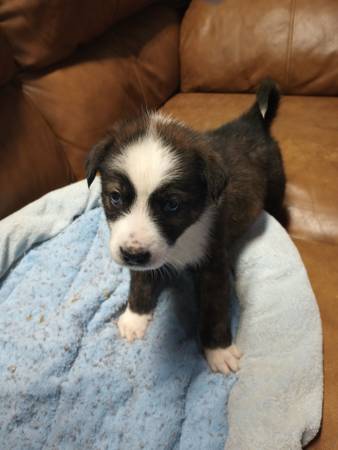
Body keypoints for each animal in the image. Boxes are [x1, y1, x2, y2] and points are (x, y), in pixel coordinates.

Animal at [85, 80, 286, 372]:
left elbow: (215, 308)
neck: (180, 241)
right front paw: (135, 317)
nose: (132, 255)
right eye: (115, 197)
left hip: (276, 185)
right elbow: (140, 281)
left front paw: (218, 350)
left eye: (172, 205)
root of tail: (251, 122)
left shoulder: (213, 263)